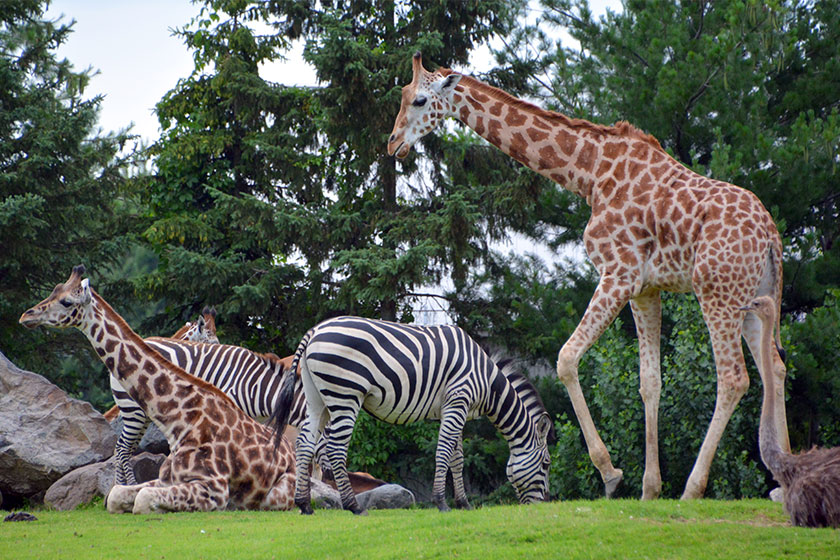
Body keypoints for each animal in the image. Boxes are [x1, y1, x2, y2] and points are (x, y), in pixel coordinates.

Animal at [19, 265, 296, 513]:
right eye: (55, 291)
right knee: (123, 449)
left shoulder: (215, 484)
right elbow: (126, 495)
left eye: (66, 301)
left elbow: (143, 498)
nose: (26, 316)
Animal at [387, 53, 788, 500]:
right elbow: (650, 381)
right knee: (775, 367)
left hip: (717, 292)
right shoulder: (645, 289)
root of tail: (771, 237)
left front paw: (610, 473)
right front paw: (649, 489)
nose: (393, 143)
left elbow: (565, 358)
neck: (589, 174)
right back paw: (784, 480)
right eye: (402, 95)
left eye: (420, 100)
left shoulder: (619, 273)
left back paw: (694, 489)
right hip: (754, 298)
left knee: (733, 378)